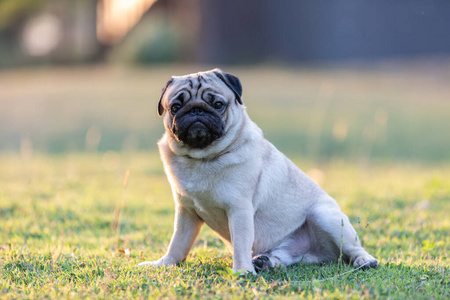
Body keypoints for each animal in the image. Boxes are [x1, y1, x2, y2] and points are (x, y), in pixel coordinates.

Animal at [139, 68, 378, 274]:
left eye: (218, 104)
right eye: (175, 107)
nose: (196, 110)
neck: (202, 158)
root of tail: (323, 255)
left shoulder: (239, 210)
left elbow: (241, 244)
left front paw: (242, 272)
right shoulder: (186, 212)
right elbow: (177, 244)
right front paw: (164, 263)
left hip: (325, 215)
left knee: (353, 249)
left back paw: (365, 260)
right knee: (289, 256)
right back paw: (268, 261)